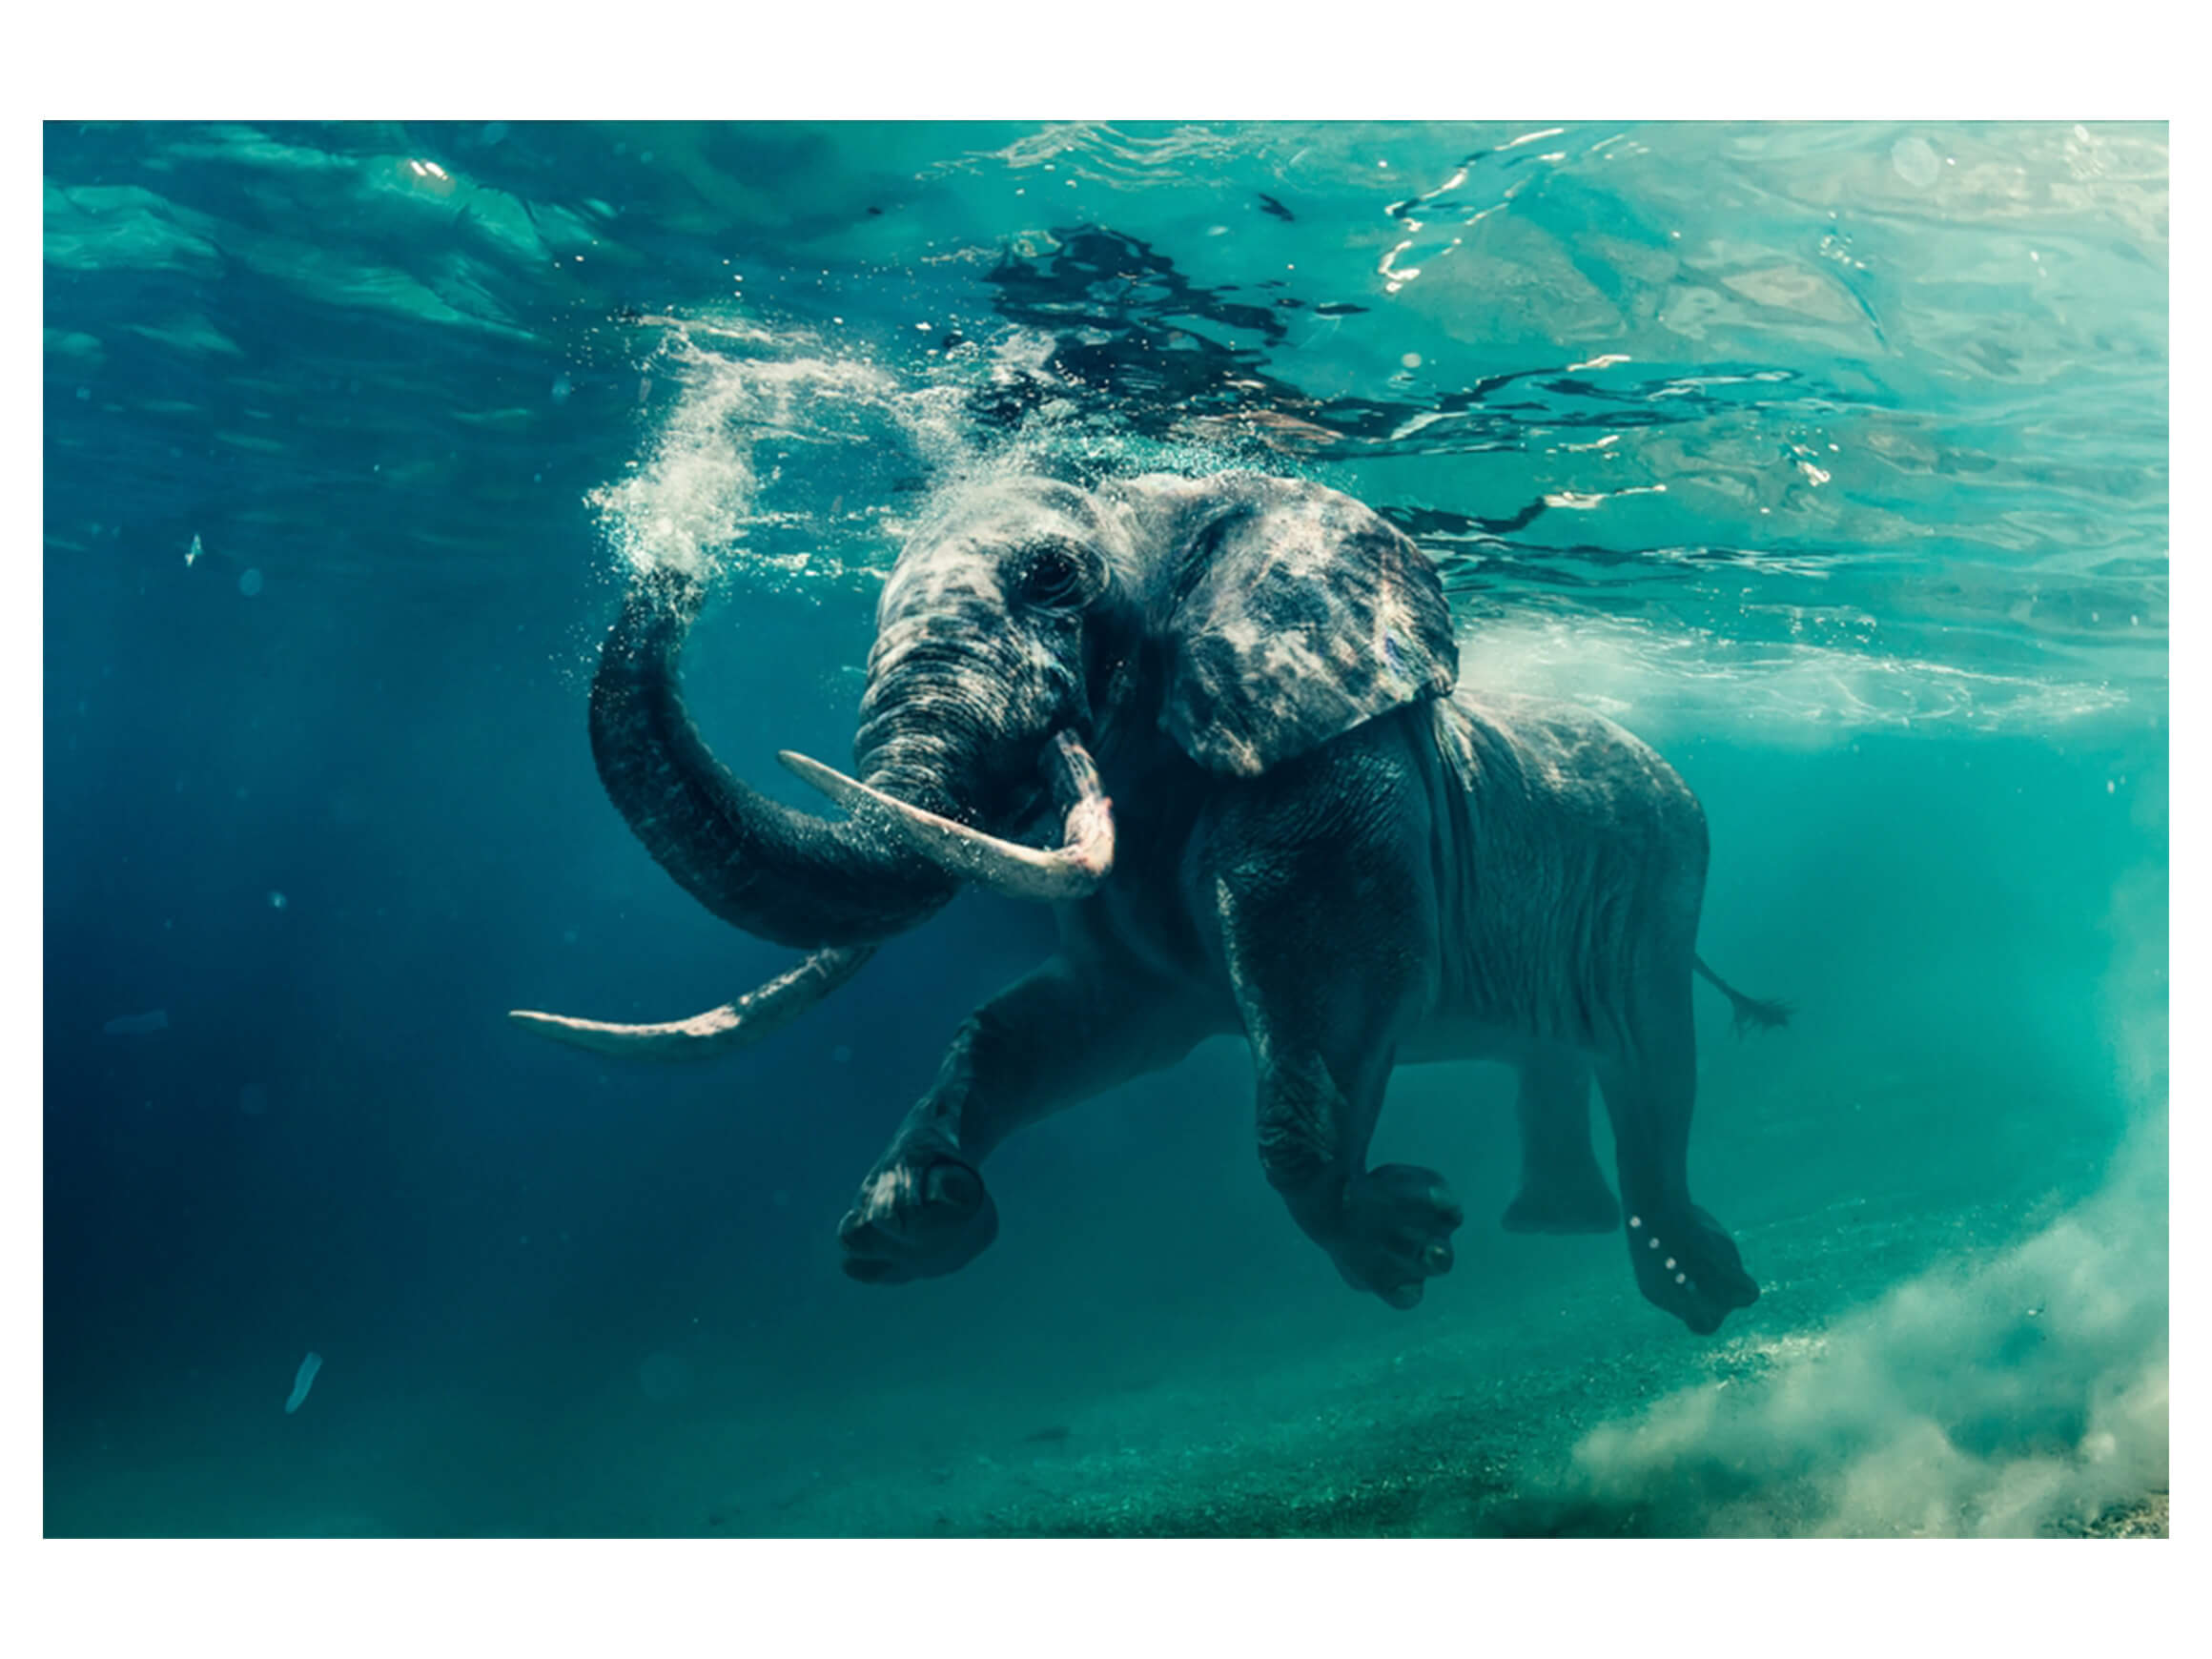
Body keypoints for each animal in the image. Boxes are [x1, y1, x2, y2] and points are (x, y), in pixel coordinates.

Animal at [514, 471, 1788, 1334]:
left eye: (1051, 579)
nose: (674, 562)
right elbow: (1060, 1023)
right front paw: (908, 1224)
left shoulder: (1331, 778)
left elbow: (1334, 994)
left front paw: (1404, 1245)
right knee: (1562, 1057)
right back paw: (1564, 1231)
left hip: (1663, 882)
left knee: (1650, 1065)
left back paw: (1700, 1292)